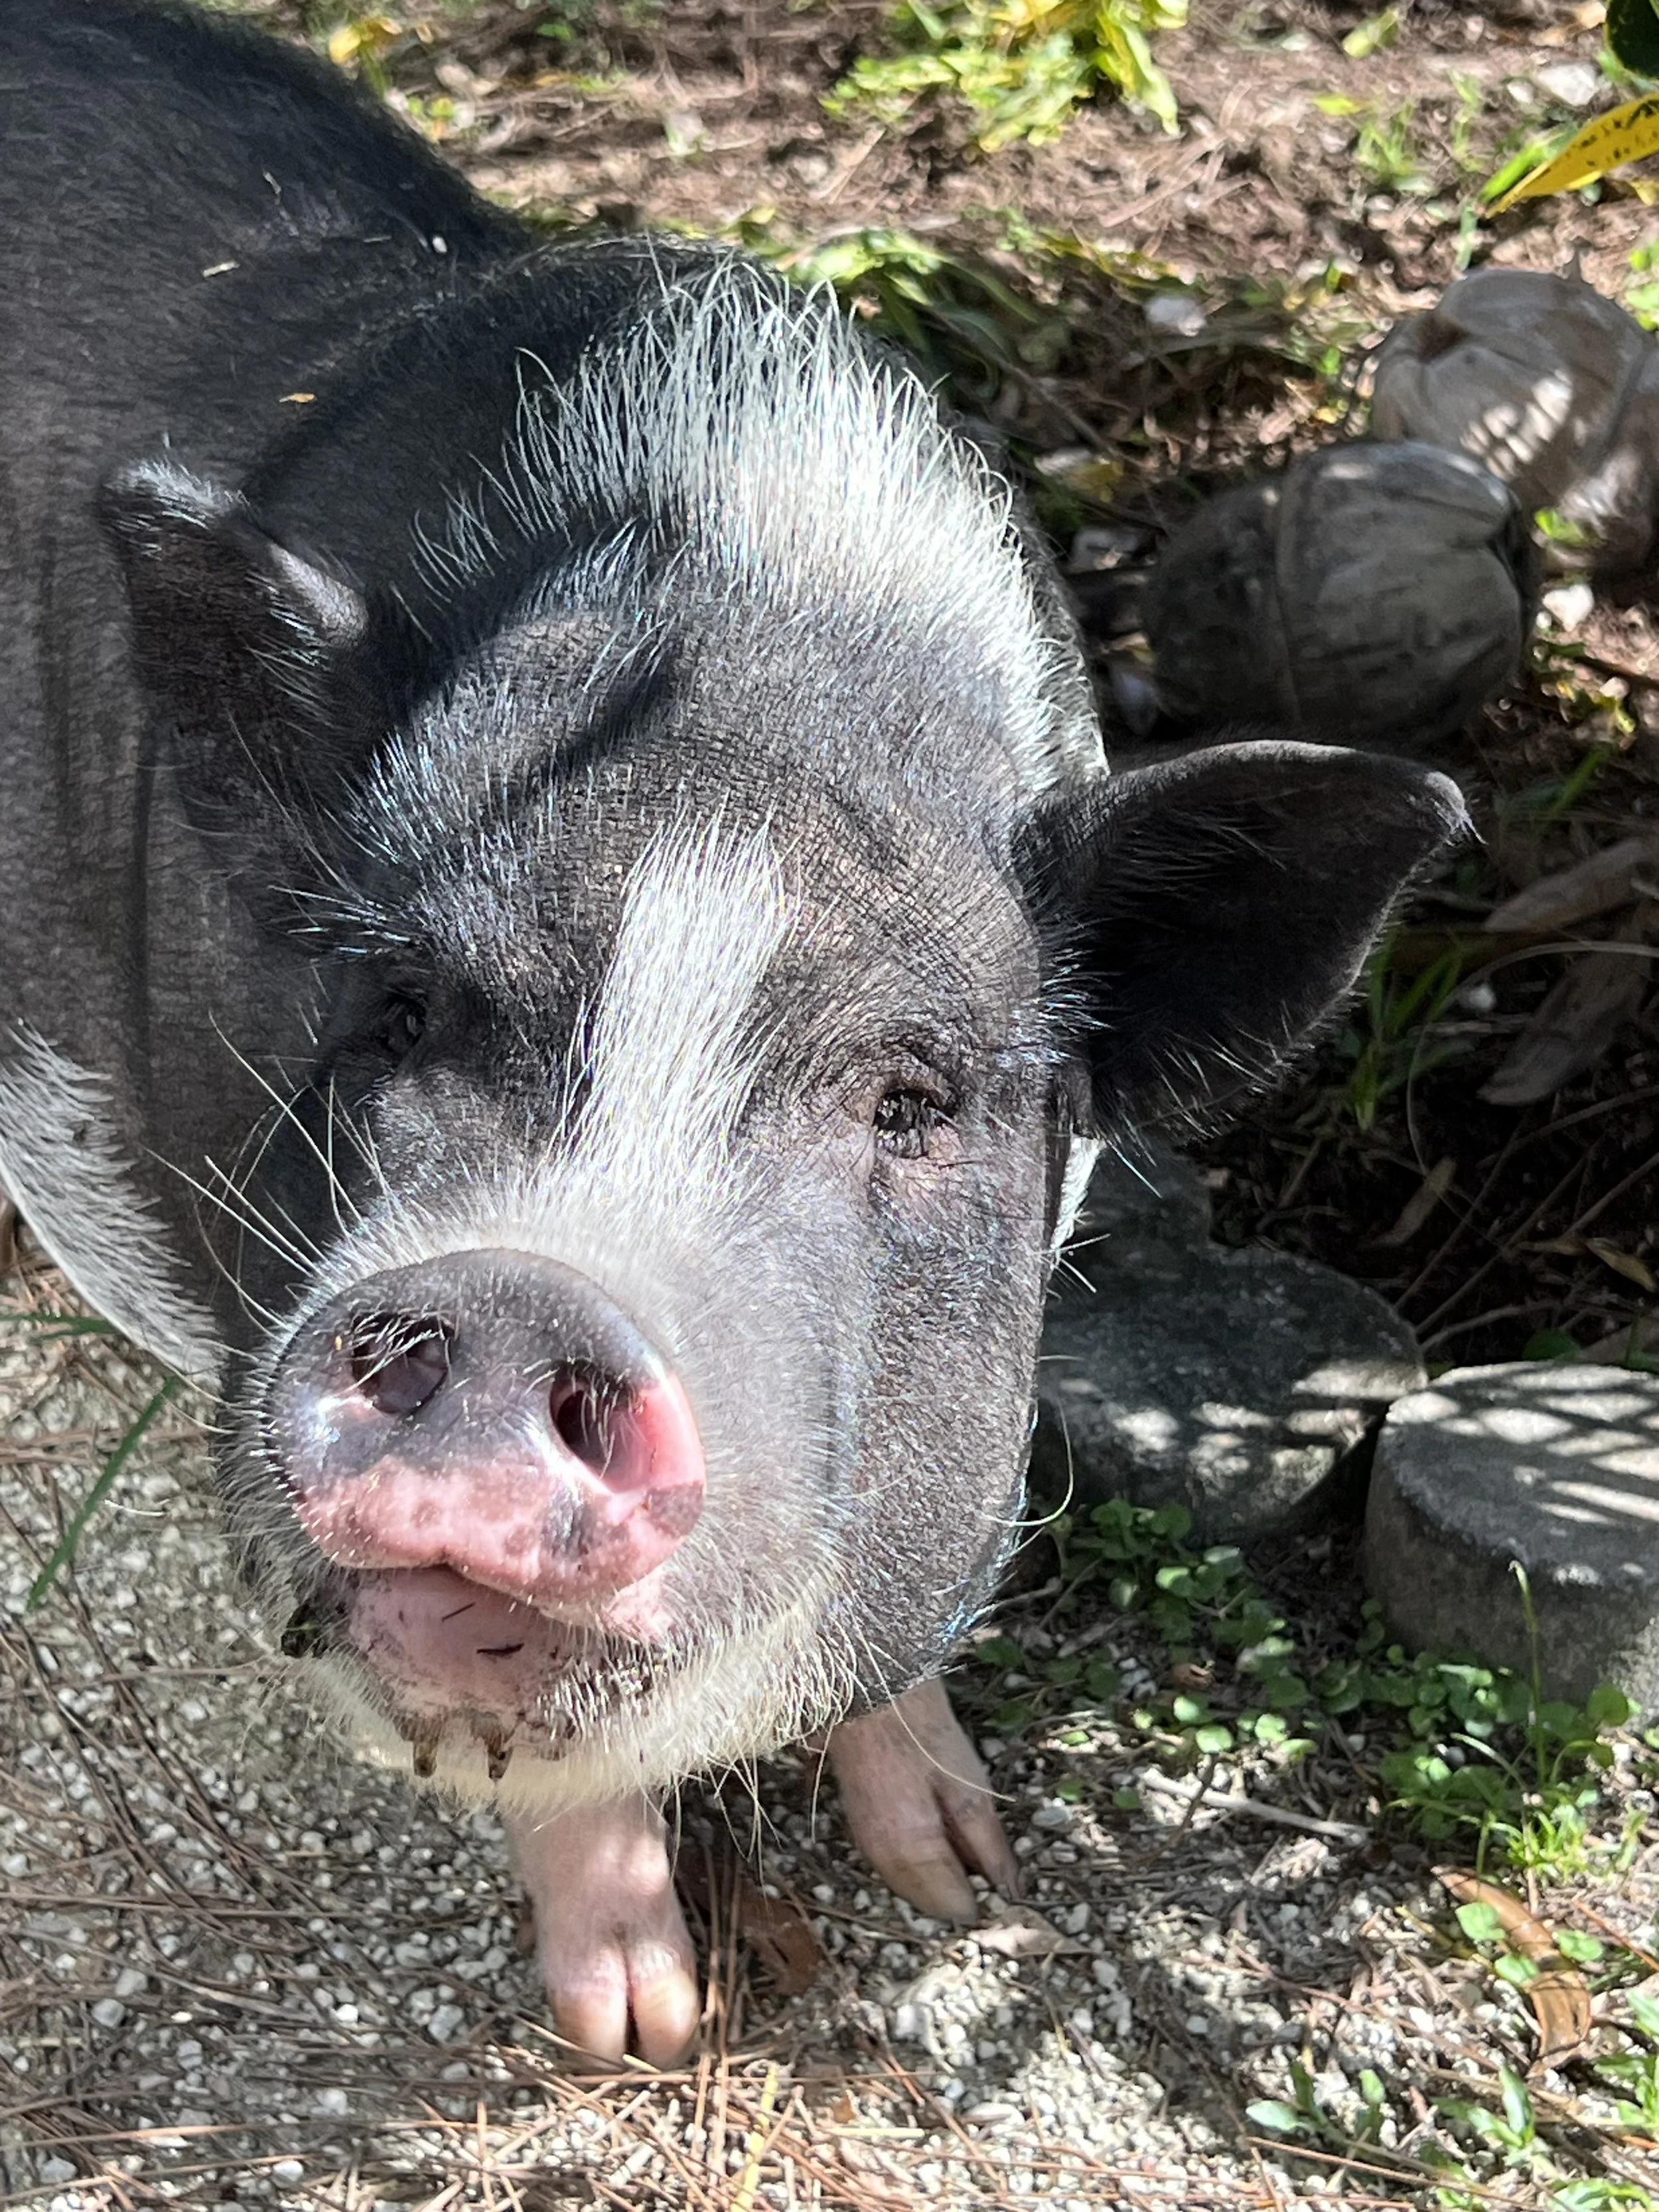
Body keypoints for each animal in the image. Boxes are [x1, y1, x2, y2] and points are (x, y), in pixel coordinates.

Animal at [0, 0, 1465, 2063]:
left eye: (913, 1094)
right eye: (401, 1007)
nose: (514, 1289)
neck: (759, 617)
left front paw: (962, 1877)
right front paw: (645, 2029)